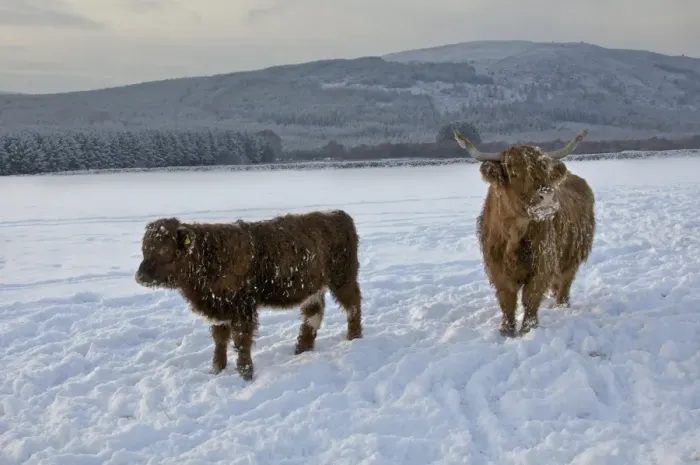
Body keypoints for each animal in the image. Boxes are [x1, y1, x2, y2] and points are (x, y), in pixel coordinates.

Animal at [134, 210, 363, 381]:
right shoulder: (219, 309)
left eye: (164, 249)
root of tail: (338, 214)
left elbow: (241, 341)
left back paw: (354, 337)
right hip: (313, 288)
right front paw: (216, 369)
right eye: (145, 248)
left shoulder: (242, 308)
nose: (139, 277)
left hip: (343, 279)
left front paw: (245, 374)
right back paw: (302, 349)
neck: (209, 256)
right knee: (313, 314)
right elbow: (220, 340)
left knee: (353, 304)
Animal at [453, 128, 595, 337]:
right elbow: (507, 301)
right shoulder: (497, 269)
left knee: (565, 282)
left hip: (572, 255)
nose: (547, 195)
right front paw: (506, 331)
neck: (513, 234)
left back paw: (561, 306)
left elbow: (531, 298)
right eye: (513, 172)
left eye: (546, 171)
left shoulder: (541, 265)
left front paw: (528, 330)